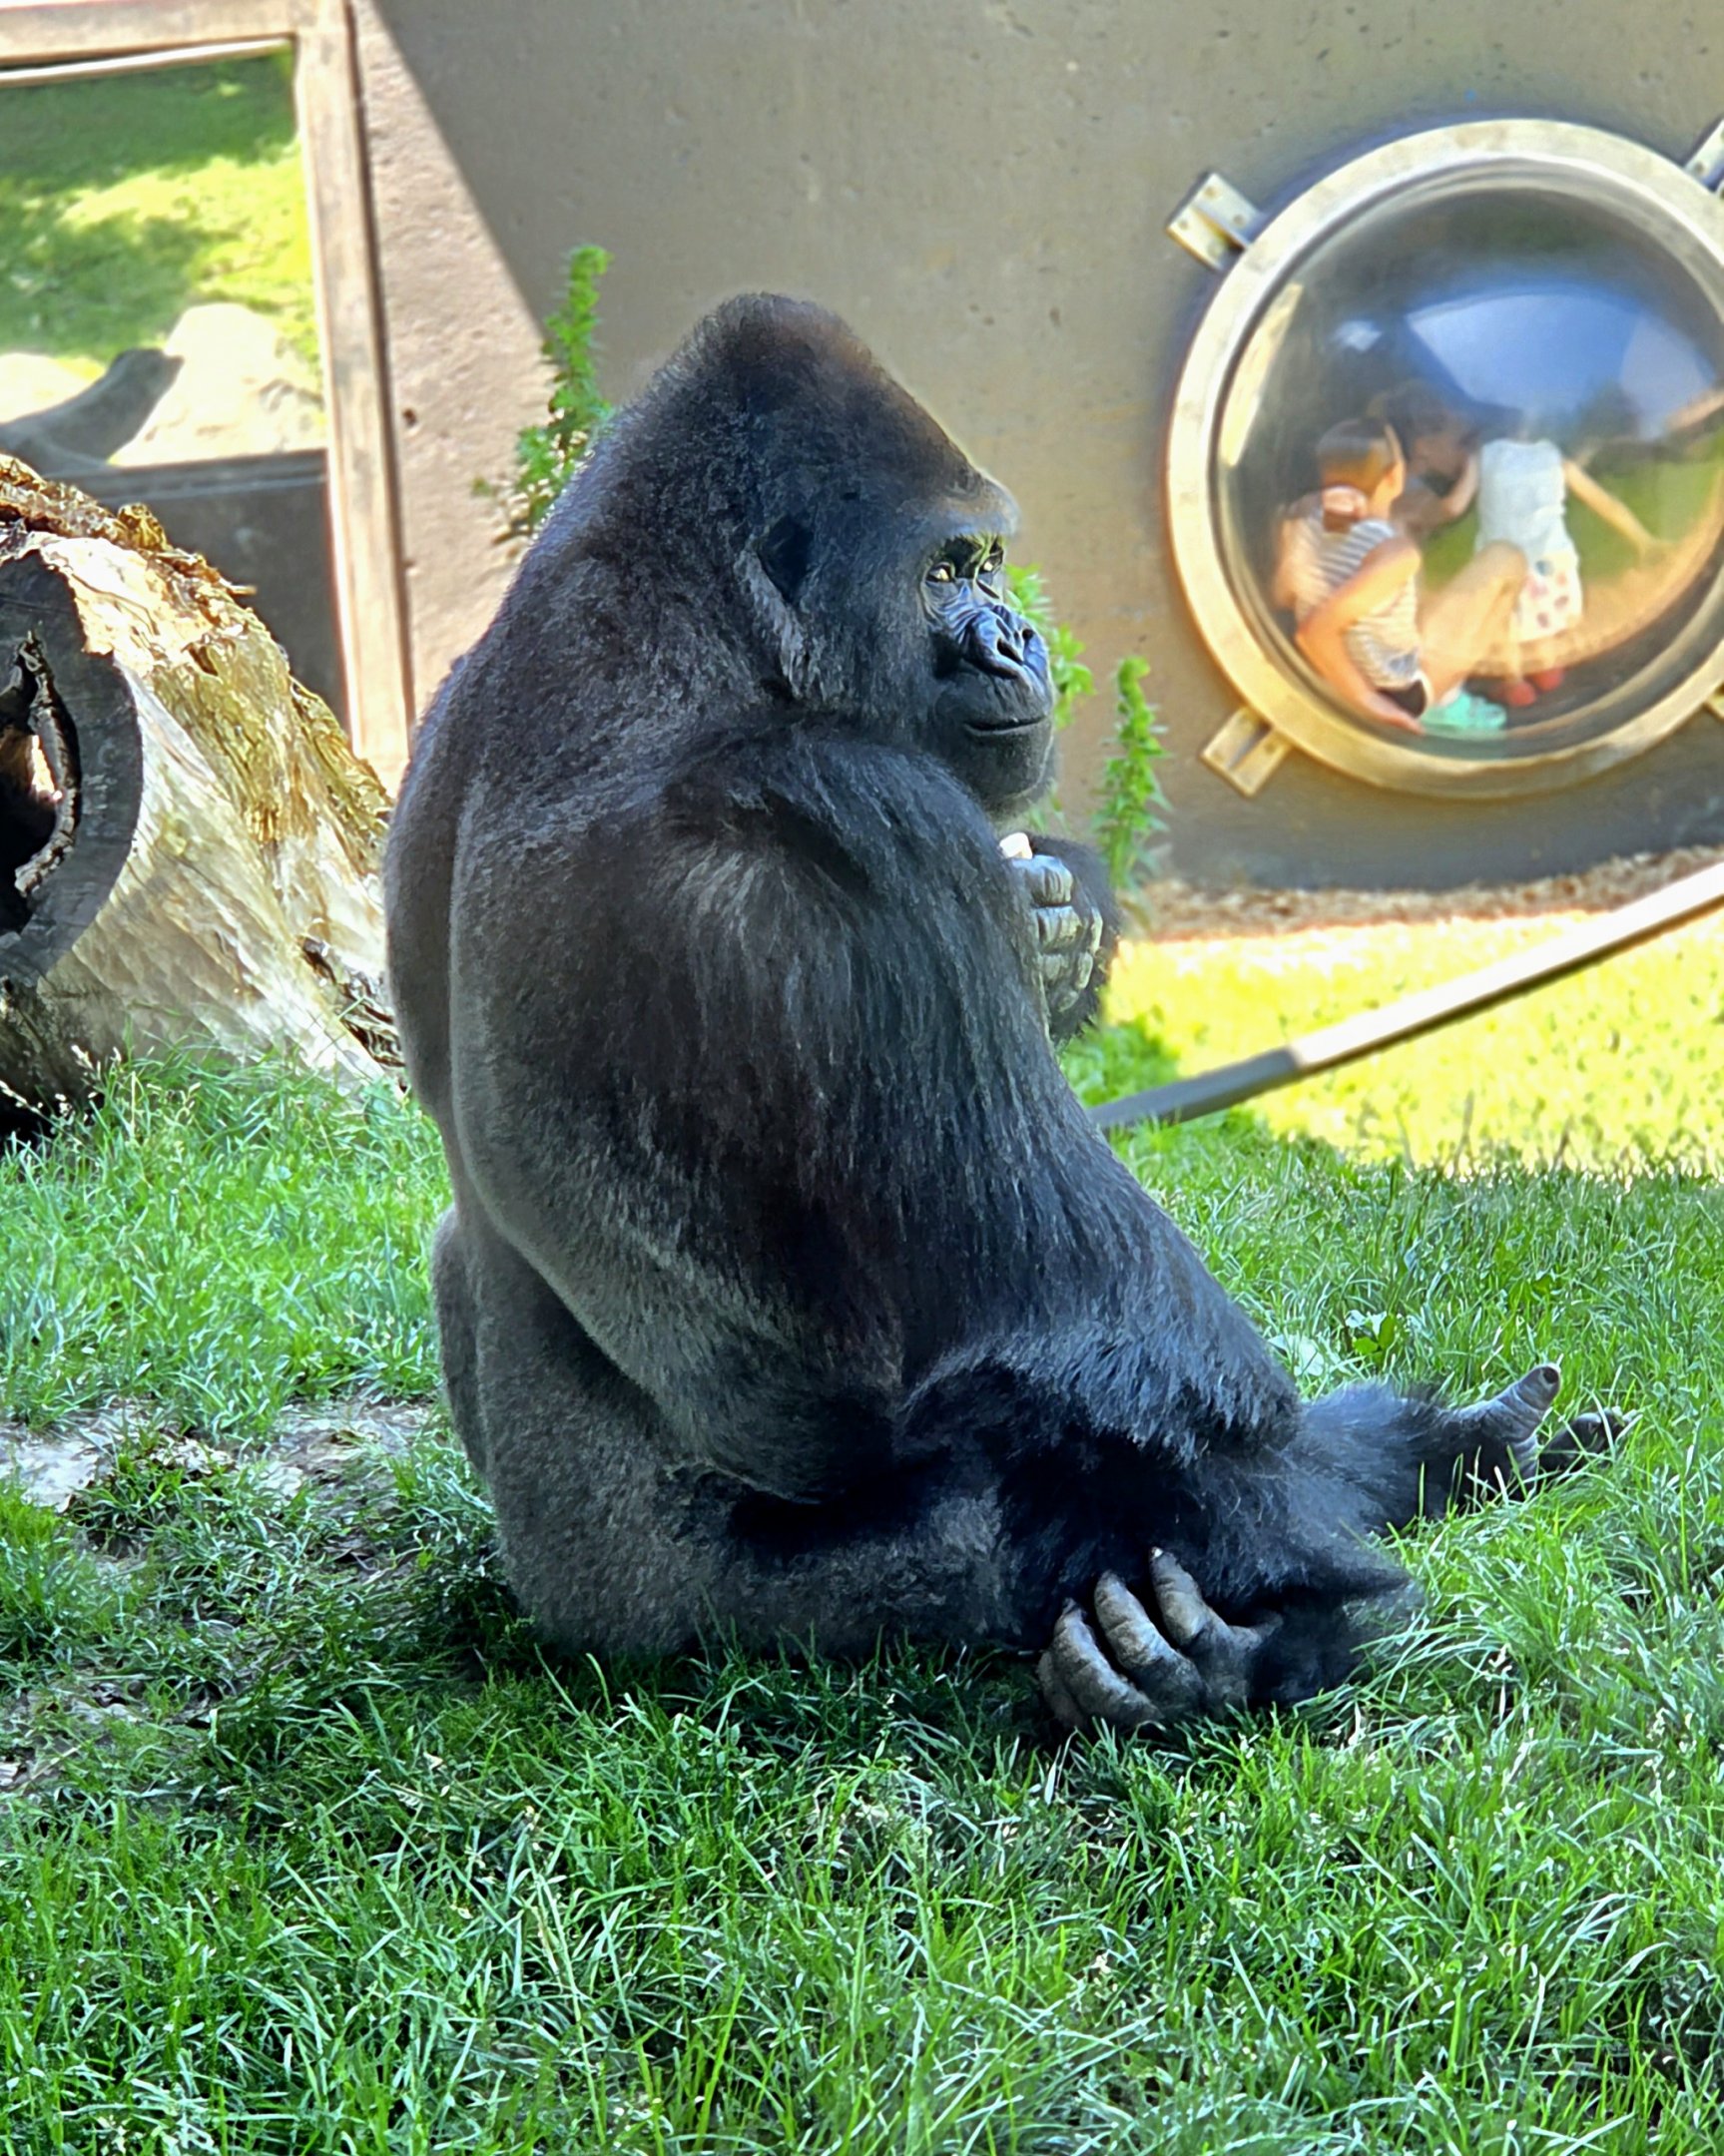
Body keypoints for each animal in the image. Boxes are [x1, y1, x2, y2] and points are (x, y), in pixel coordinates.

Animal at [385, 294, 1608, 1733]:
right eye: (942, 570)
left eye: (987, 560)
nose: (1016, 633)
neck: (678, 627)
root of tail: (567, 1605)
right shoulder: (860, 823)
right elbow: (1103, 1339)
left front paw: (1057, 925)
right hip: (745, 1622)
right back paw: (1224, 1658)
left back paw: (1431, 1453)